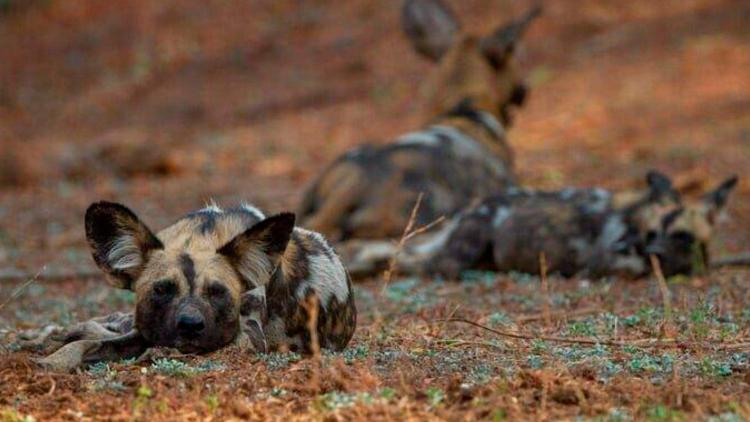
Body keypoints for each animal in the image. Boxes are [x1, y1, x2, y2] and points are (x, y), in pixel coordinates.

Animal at [25, 203, 360, 370]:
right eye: (162, 290)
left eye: (217, 292)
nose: (190, 325)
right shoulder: (143, 331)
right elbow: (85, 344)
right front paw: (54, 360)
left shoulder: (249, 338)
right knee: (98, 326)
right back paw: (40, 337)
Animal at [346, 171, 740, 280]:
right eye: (652, 234)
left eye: (683, 237)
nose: (655, 252)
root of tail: (470, 208)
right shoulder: (609, 260)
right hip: (462, 248)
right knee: (424, 264)